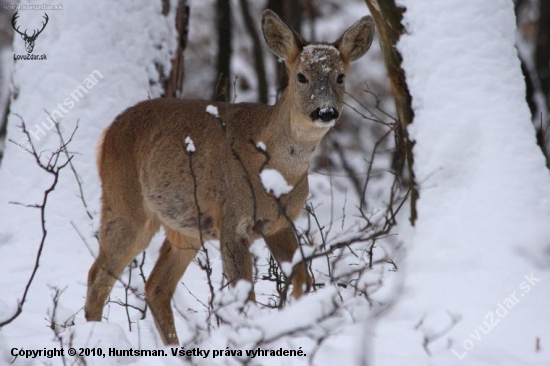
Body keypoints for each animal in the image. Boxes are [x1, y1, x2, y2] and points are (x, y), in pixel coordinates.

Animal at [84, 10, 378, 344]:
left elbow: (304, 277)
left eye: (340, 77)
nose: (326, 111)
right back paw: (91, 338)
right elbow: (245, 296)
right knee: (98, 275)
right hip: (125, 204)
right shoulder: (233, 218)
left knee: (156, 286)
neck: (273, 174)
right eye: (301, 76)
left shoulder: (280, 223)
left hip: (186, 228)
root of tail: (109, 131)